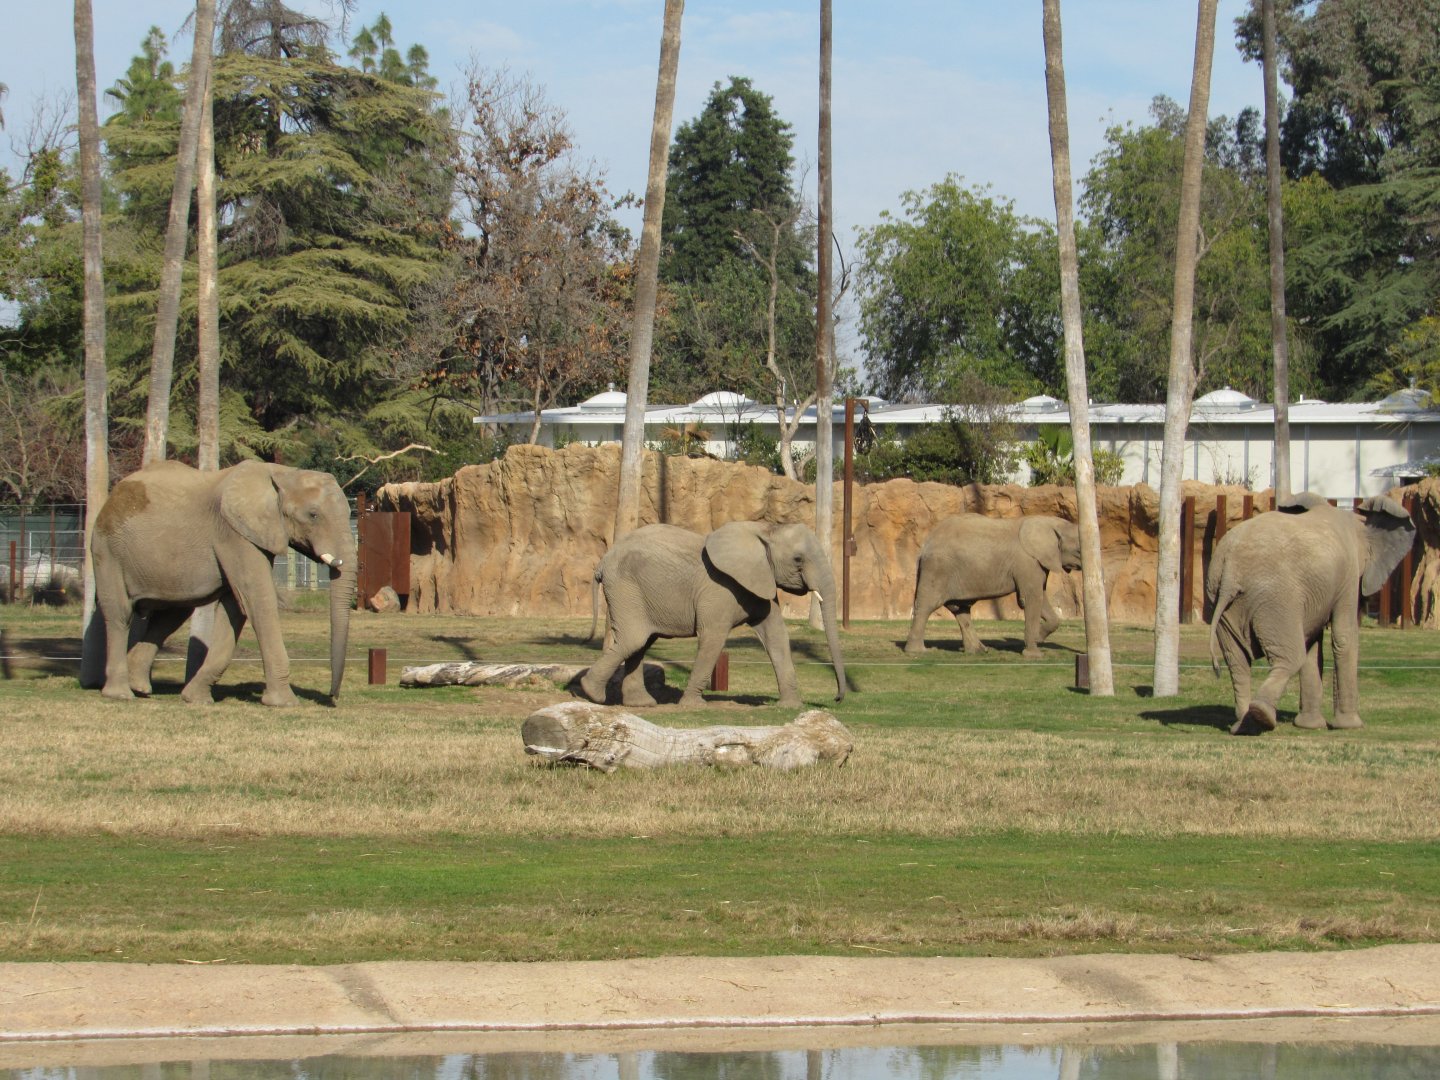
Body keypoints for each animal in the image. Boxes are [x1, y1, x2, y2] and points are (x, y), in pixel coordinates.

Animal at [91, 459, 358, 706]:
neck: (283, 472)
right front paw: (284, 703)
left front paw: (195, 699)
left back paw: (140, 687)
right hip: (107, 550)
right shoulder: (233, 533)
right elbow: (256, 599)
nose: (332, 696)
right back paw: (120, 694)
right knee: (120, 614)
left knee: (172, 615)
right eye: (313, 515)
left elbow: (235, 609)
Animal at [579, 520, 846, 708]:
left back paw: (640, 704)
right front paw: (693, 706)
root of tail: (601, 563)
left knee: (640, 643)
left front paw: (791, 706)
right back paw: (592, 693)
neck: (766, 529)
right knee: (634, 640)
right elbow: (713, 637)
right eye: (798, 559)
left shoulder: (761, 583)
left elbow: (776, 637)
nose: (836, 698)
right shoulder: (720, 589)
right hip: (625, 589)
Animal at [904, 513, 1082, 658]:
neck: (1049, 521)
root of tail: (924, 545)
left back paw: (979, 651)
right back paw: (917, 651)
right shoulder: (1027, 562)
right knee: (927, 605)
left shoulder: (1037, 564)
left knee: (960, 608)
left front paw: (1038, 638)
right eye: (1079, 551)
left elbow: (1040, 598)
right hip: (937, 569)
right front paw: (1034, 655)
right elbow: (1030, 599)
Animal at [1206, 493, 1414, 735]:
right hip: (1276, 599)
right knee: (1289, 657)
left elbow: (1312, 646)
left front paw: (1310, 726)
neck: (1357, 521)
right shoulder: (1348, 577)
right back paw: (1262, 716)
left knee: (1238, 662)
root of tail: (1231, 568)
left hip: (1221, 600)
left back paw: (1244, 725)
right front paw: (1350, 726)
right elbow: (1343, 637)